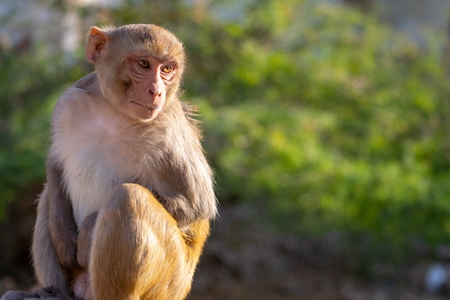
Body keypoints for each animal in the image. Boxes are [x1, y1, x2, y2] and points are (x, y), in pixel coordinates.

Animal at [1, 24, 216, 300]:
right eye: (144, 64)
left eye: (166, 69)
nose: (157, 91)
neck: (114, 112)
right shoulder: (67, 102)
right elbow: (55, 168)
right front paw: (64, 241)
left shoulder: (167, 129)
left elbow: (196, 205)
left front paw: (88, 231)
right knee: (49, 195)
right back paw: (52, 292)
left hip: (170, 280)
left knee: (128, 197)